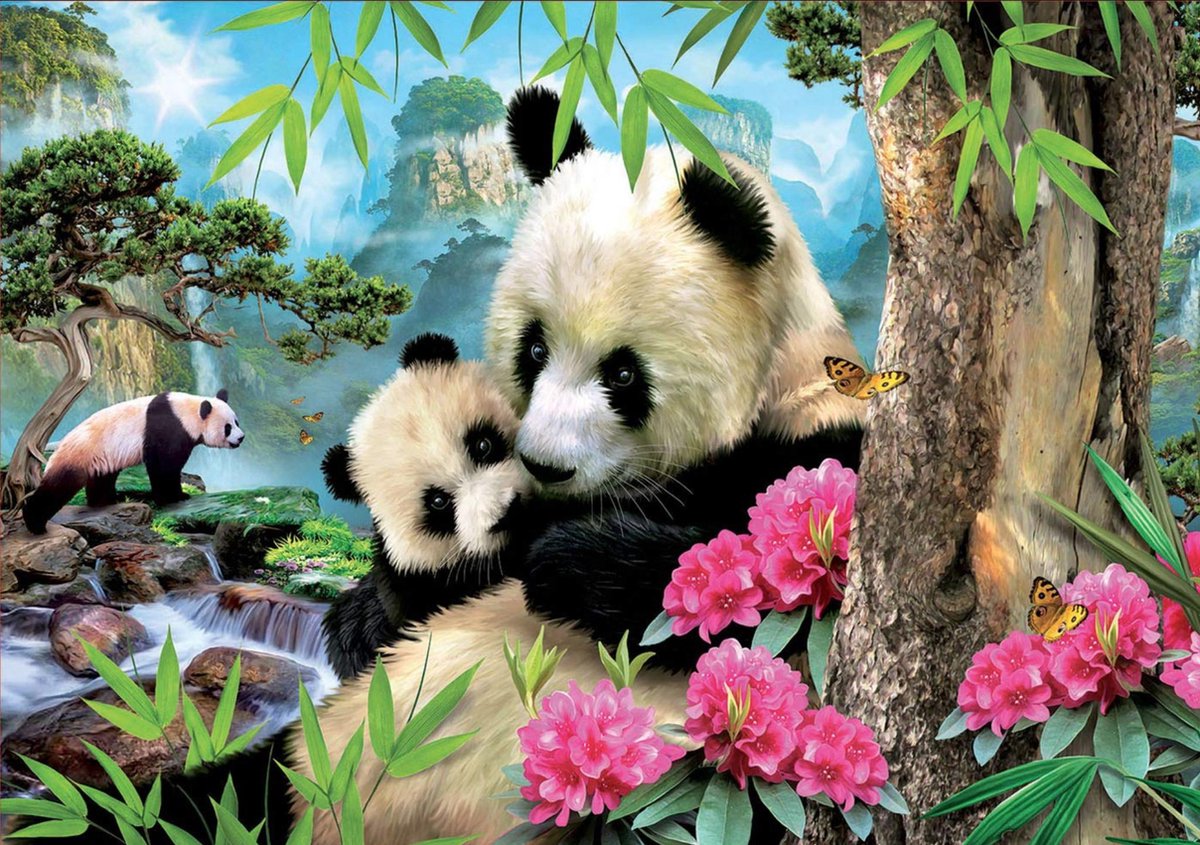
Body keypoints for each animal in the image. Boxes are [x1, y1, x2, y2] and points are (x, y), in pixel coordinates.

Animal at [21, 390, 244, 534]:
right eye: (227, 427)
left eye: (236, 422)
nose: (241, 438)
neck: (187, 411)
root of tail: (59, 447)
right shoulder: (167, 427)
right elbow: (163, 465)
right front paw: (176, 497)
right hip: (79, 455)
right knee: (58, 486)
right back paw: (35, 523)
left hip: (101, 457)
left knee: (103, 478)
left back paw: (106, 501)